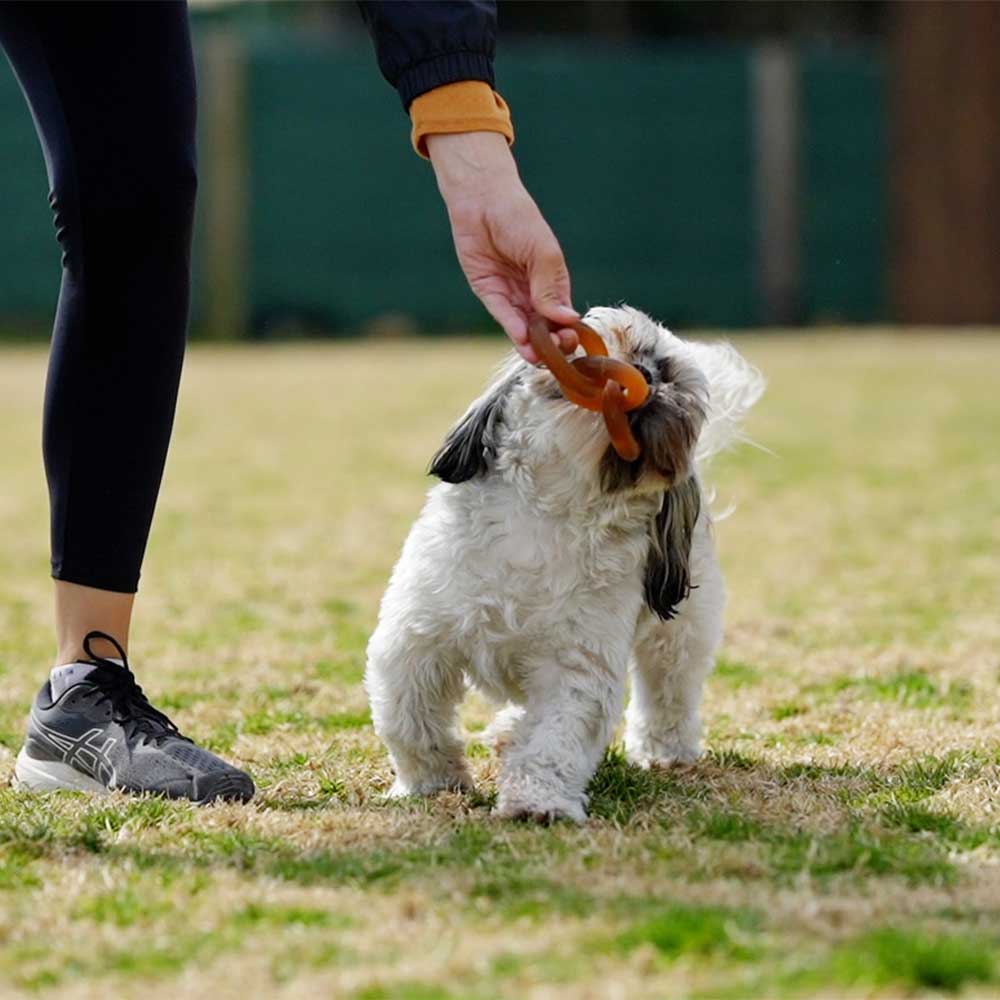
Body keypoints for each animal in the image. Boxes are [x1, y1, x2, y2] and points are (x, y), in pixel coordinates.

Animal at [368, 304, 764, 820]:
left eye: (669, 375)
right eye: (622, 348)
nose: (645, 376)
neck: (552, 513)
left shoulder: (576, 667)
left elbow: (555, 741)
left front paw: (537, 802)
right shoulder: (418, 641)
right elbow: (408, 721)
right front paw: (431, 783)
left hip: (681, 634)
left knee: (669, 691)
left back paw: (663, 751)